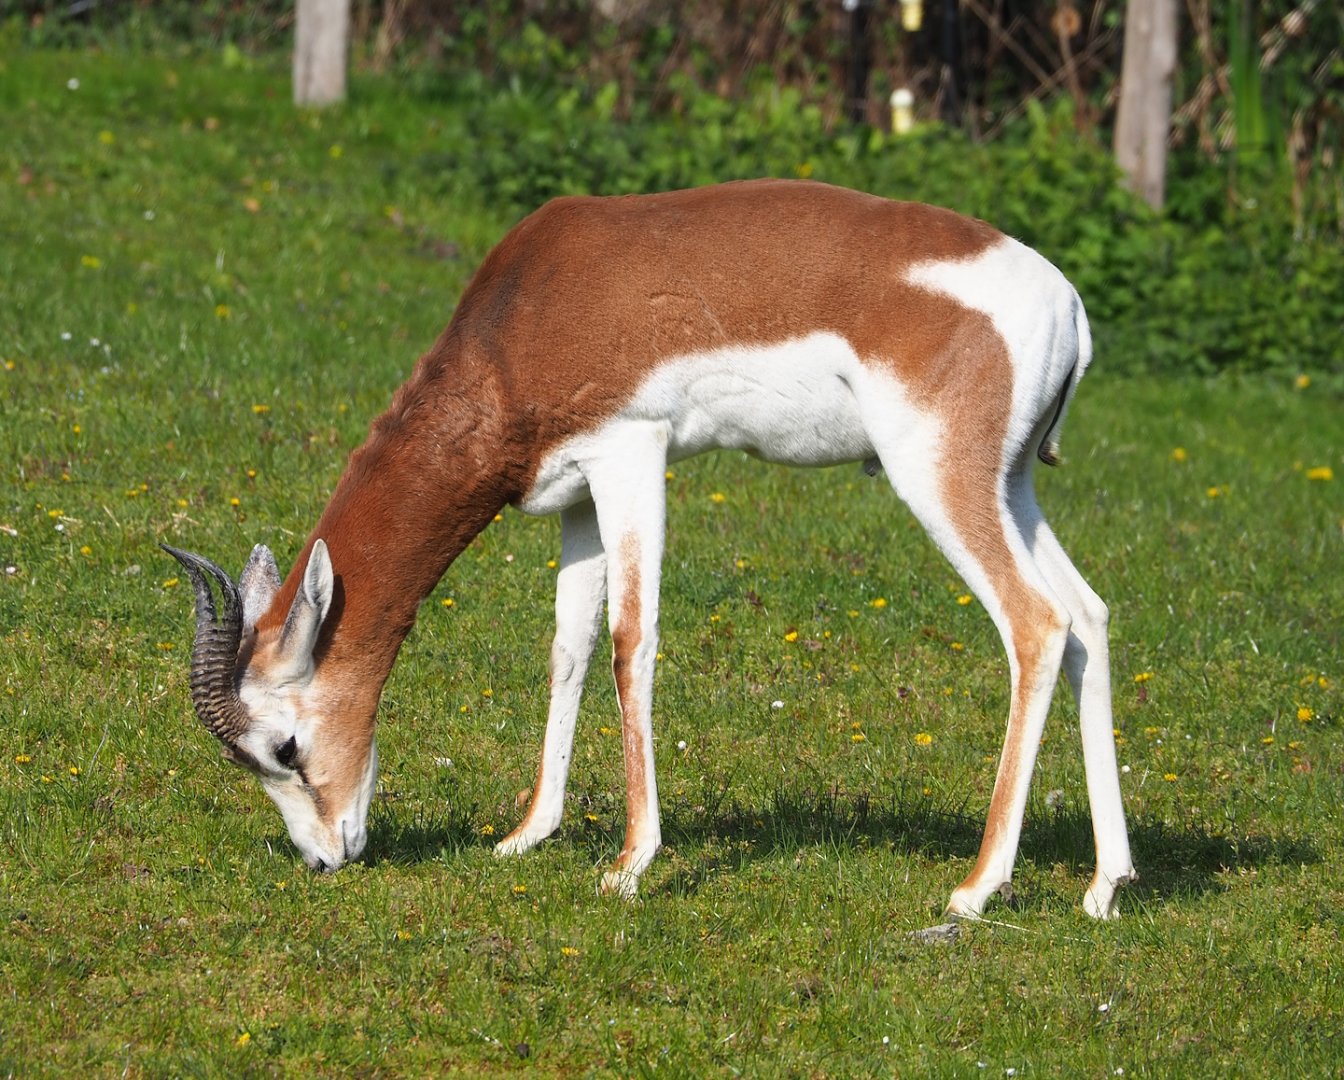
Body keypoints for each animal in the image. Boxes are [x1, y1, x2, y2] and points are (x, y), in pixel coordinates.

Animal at [164, 179, 1136, 921]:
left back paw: (976, 889)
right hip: (1014, 485)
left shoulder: (632, 453)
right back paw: (1105, 886)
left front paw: (630, 864)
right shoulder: (575, 497)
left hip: (938, 478)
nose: (325, 858)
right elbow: (568, 648)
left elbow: (632, 645)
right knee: (1087, 615)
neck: (527, 314)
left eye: (284, 748)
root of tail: (1071, 304)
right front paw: (526, 834)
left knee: (1037, 624)